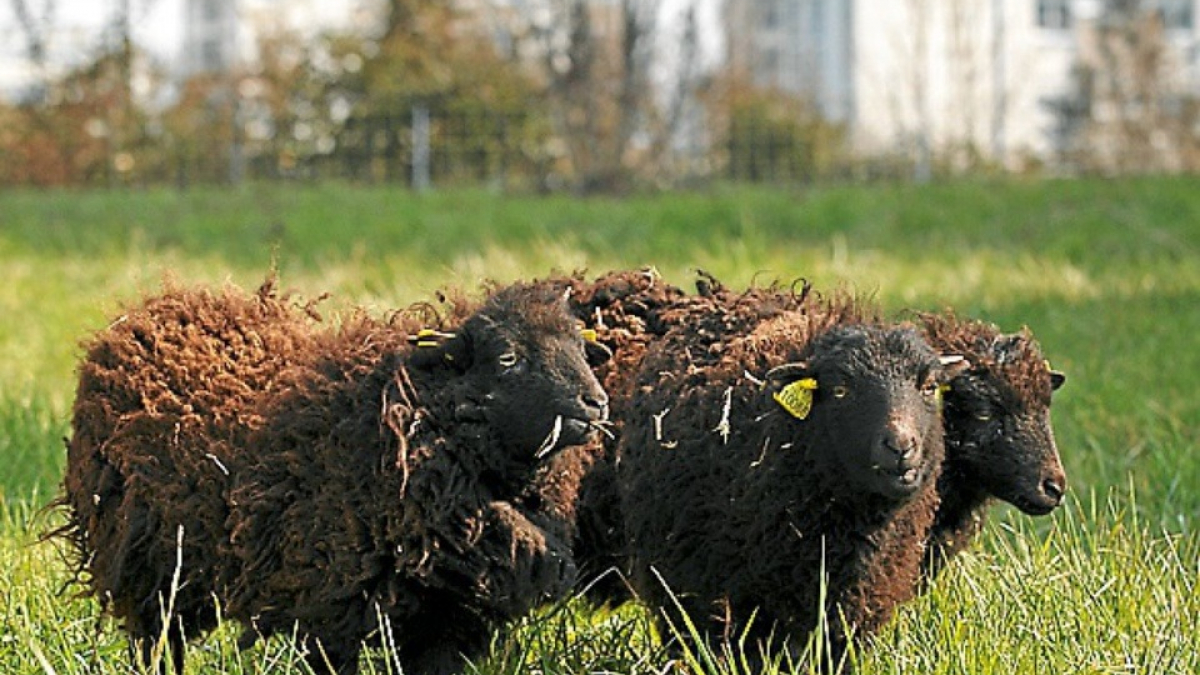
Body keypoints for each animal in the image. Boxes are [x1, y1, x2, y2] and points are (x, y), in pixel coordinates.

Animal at [54, 276, 609, 667]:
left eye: (581, 349)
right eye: (509, 358)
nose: (596, 402)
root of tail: (155, 306)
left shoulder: (444, 621)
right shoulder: (327, 608)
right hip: (144, 566)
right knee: (154, 641)